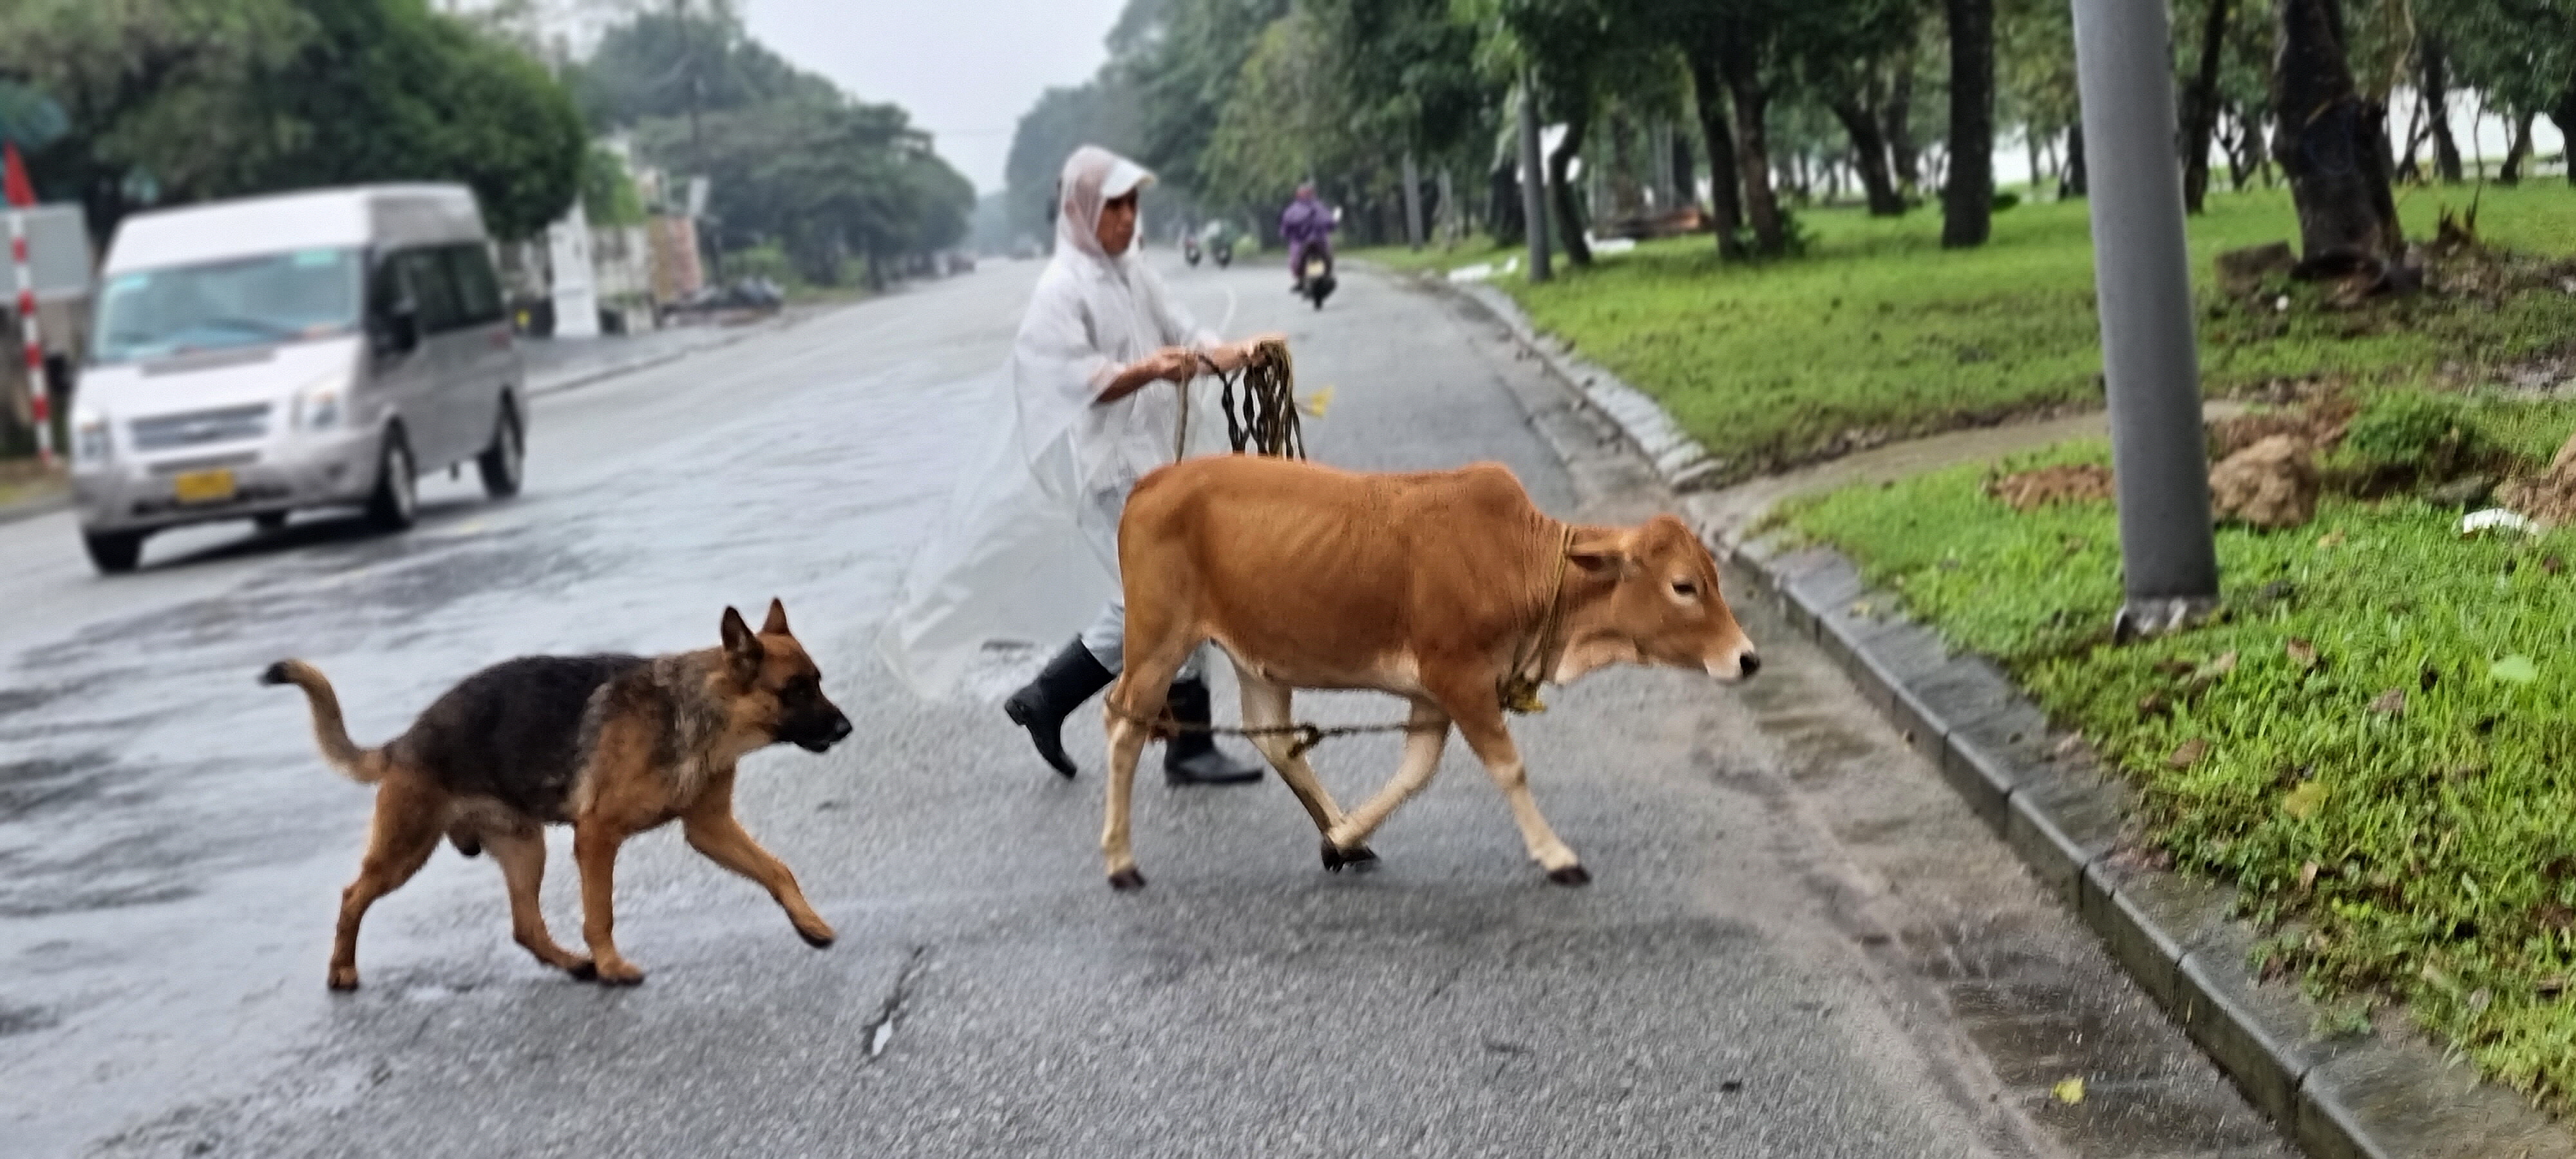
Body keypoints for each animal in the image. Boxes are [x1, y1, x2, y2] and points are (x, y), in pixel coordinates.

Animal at [268, 598, 860, 989]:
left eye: (818, 681)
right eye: (796, 691)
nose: (846, 728)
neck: (695, 709)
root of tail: (403, 742)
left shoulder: (710, 830)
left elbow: (778, 870)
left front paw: (809, 924)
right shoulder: (597, 837)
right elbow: (601, 911)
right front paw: (614, 965)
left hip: (525, 850)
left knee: (525, 926)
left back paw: (574, 964)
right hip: (405, 851)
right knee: (353, 896)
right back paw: (342, 970)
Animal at [1097, 453, 1762, 886]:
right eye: (1684, 586)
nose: (1748, 658)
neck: (1514, 558)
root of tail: (1153, 482)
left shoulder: (1433, 693)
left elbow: (1415, 772)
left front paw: (1342, 841)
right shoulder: (1459, 679)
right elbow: (1509, 768)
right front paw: (1556, 855)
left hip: (1257, 662)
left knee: (1273, 738)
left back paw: (1347, 837)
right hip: (1157, 644)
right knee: (1125, 730)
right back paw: (1121, 861)